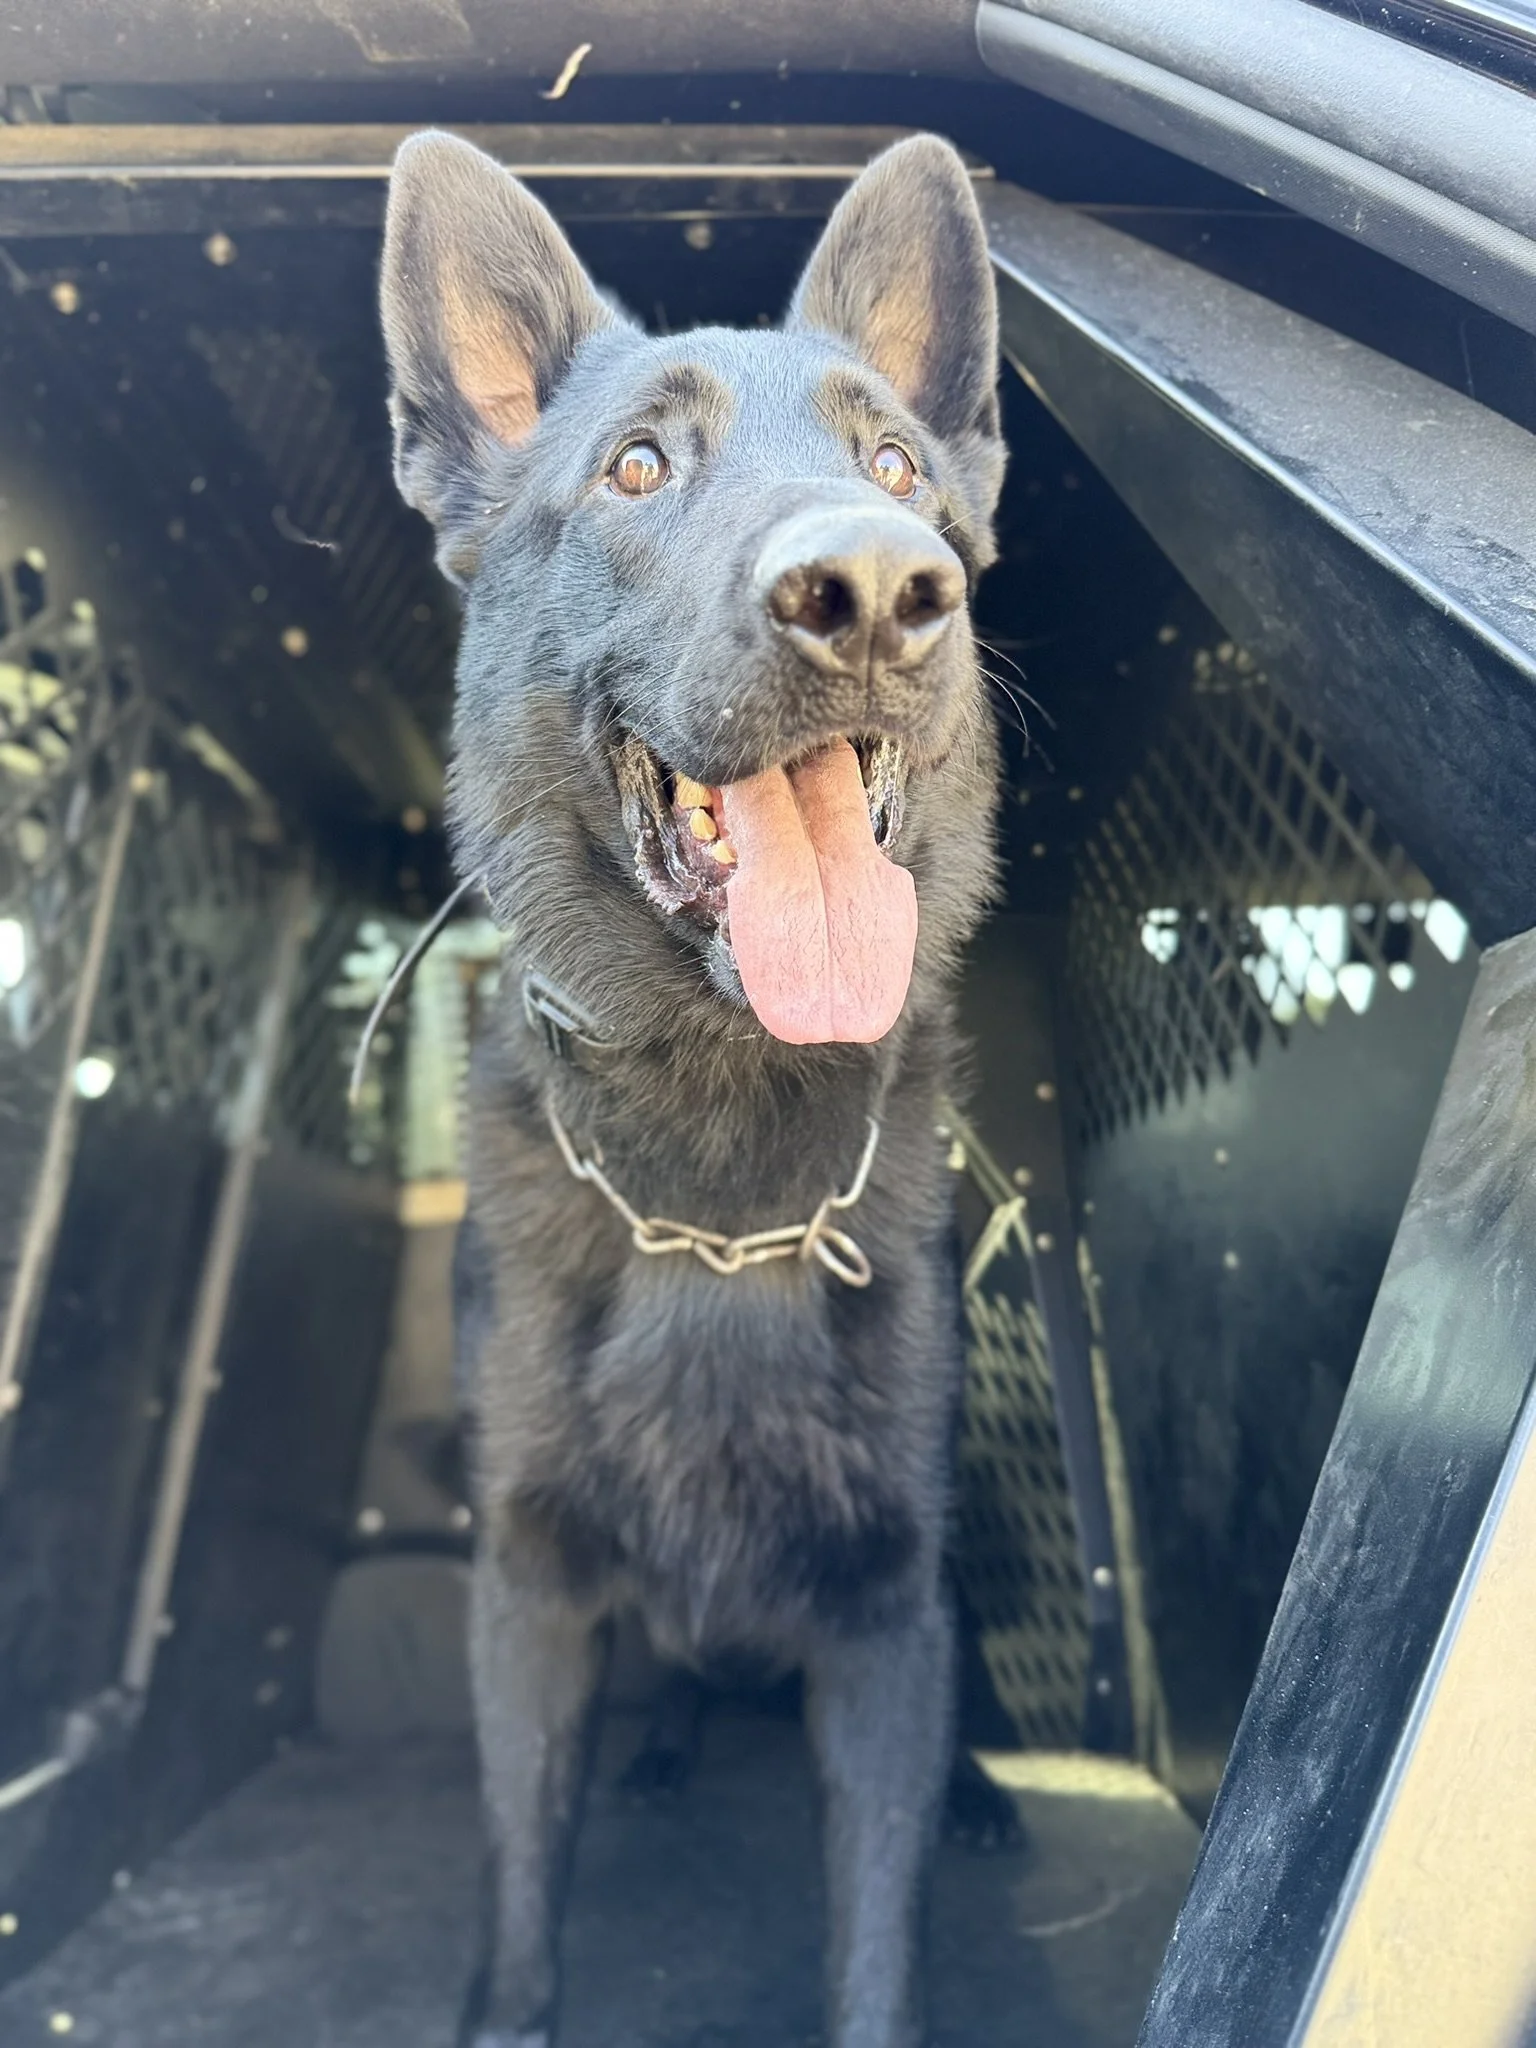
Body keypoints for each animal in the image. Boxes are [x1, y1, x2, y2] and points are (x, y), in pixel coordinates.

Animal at [380, 127, 1008, 2048]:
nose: (875, 588)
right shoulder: (529, 1594)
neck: (715, 1195)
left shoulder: (886, 1620)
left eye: (895, 463)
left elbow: (877, 1938)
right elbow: (525, 1896)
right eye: (639, 466)